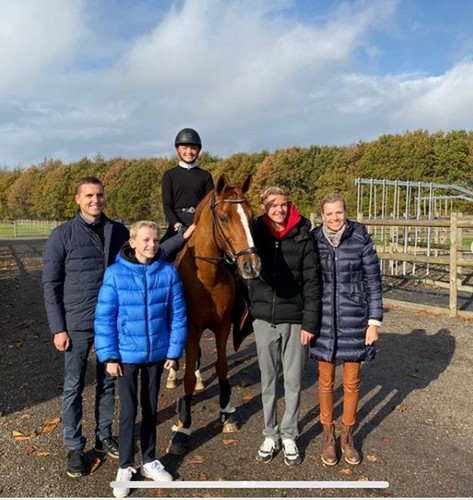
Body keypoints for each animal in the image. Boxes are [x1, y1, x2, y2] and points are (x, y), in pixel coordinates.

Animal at [167, 174, 262, 456]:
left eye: (251, 215)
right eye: (223, 217)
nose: (252, 266)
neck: (207, 278)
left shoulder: (221, 326)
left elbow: (222, 367)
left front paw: (226, 412)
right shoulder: (190, 329)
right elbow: (187, 376)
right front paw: (184, 427)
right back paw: (172, 375)